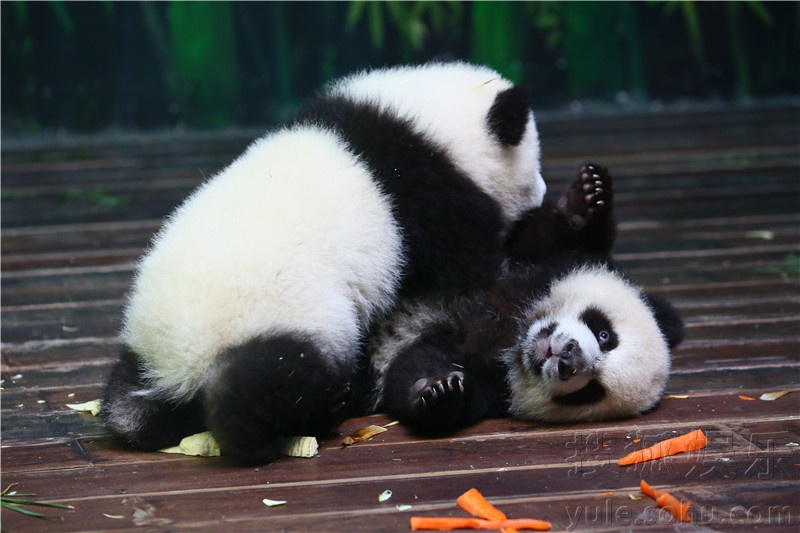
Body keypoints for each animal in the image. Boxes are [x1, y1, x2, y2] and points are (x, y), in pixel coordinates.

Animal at [103, 61, 548, 462]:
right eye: (535, 166)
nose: (543, 193)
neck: (425, 126)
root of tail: (175, 367)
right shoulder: (433, 199)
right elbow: (465, 268)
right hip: (272, 319)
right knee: (277, 375)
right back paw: (273, 429)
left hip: (142, 354)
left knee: (127, 405)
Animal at [368, 164, 680, 434]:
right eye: (604, 334)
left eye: (590, 391)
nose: (568, 356)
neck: (516, 335)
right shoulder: (547, 265)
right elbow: (539, 240)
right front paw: (586, 200)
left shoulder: (495, 387)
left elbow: (417, 366)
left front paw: (442, 393)